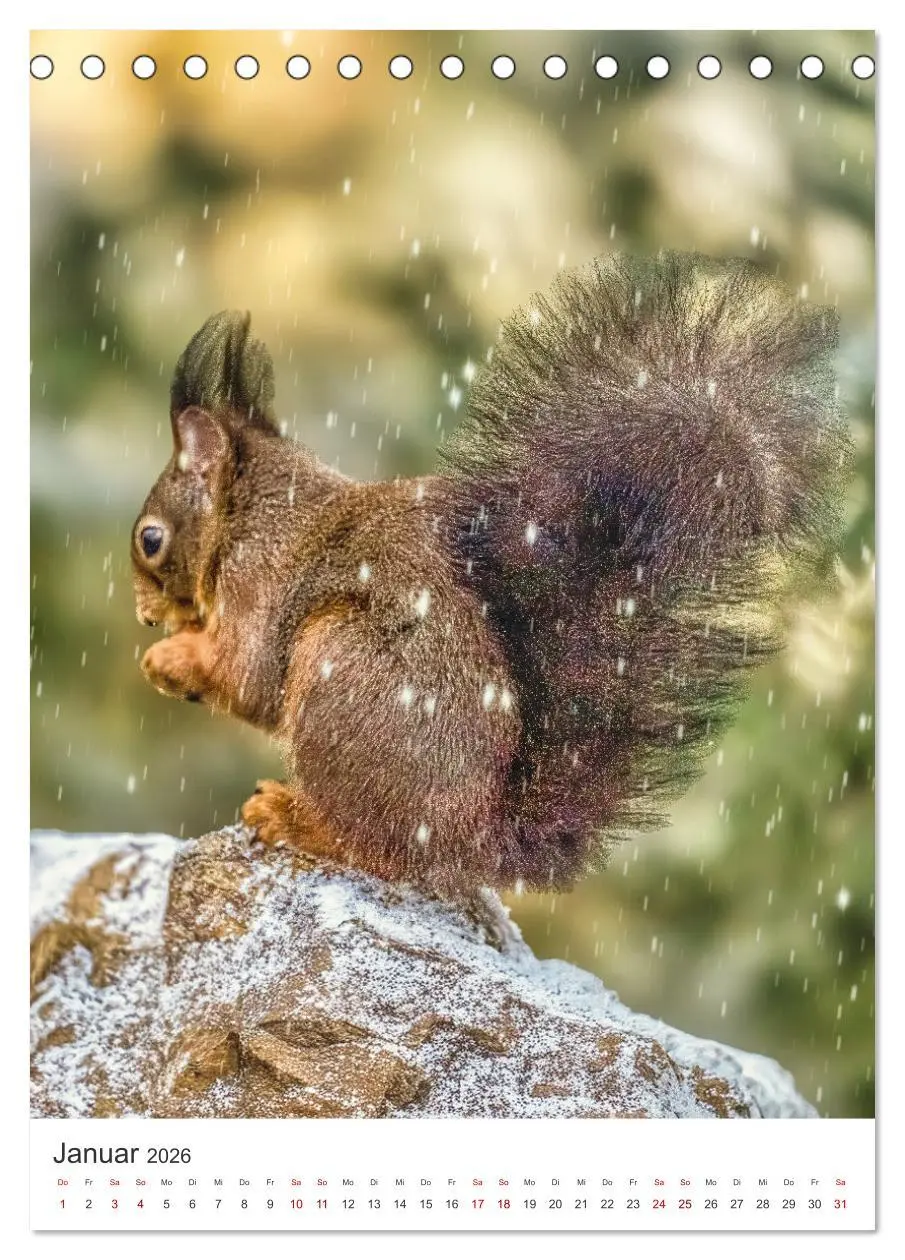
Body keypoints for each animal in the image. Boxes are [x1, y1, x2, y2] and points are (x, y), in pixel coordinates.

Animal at [132, 252, 851, 894]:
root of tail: (472, 842)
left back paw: (294, 818)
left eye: (150, 539)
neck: (250, 512)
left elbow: (246, 677)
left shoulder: (257, 581)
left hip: (343, 667)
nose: (143, 615)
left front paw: (168, 659)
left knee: (373, 849)